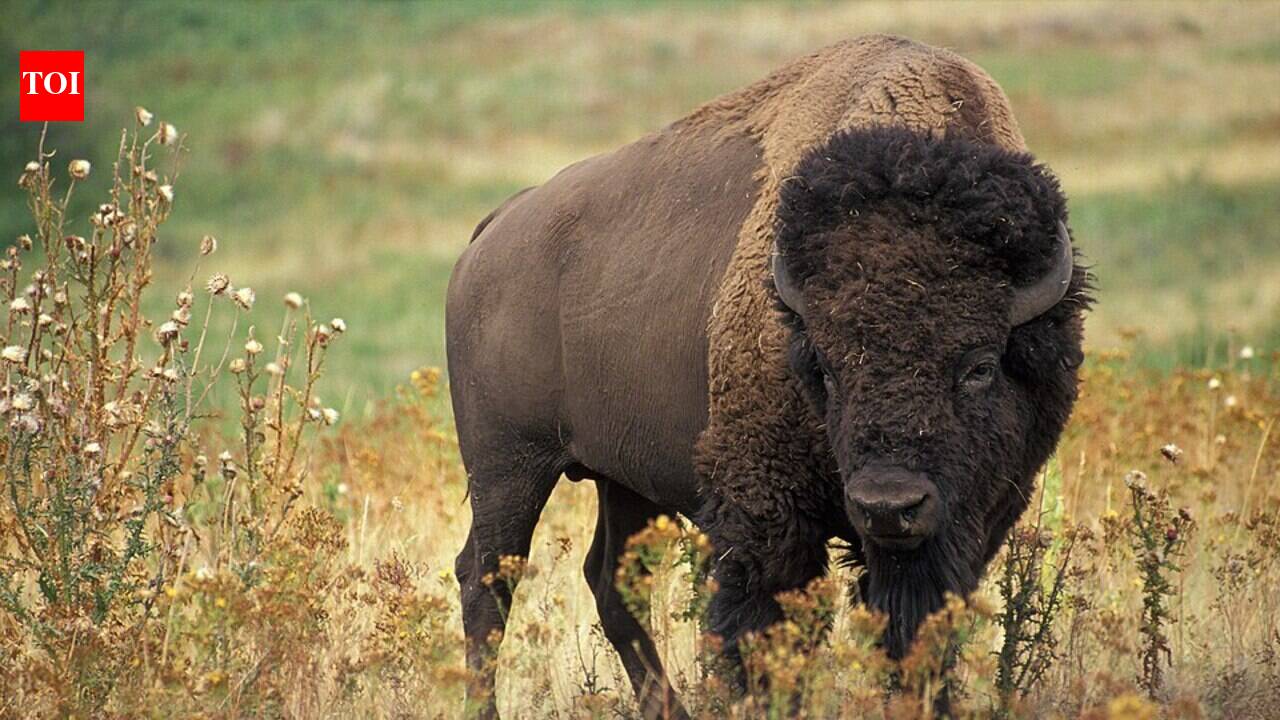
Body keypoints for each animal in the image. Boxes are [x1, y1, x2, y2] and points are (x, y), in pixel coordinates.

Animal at [446, 34, 1089, 718]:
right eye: (826, 368)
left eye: (980, 366)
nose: (888, 505)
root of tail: (494, 230)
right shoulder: (766, 514)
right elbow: (763, 629)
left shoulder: (972, 520)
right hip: (508, 467)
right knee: (487, 578)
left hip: (622, 479)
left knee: (611, 579)